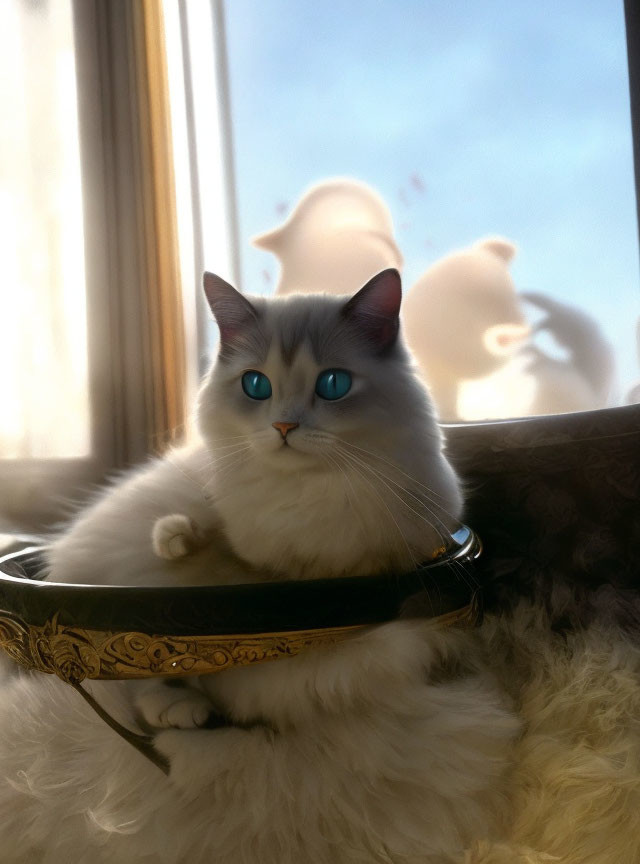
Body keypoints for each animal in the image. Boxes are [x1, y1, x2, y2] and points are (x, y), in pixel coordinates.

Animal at [0, 268, 516, 856]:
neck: (306, 499)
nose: (284, 428)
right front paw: (179, 538)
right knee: (133, 680)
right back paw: (179, 706)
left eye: (333, 384)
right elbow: (210, 556)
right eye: (255, 386)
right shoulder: (234, 556)